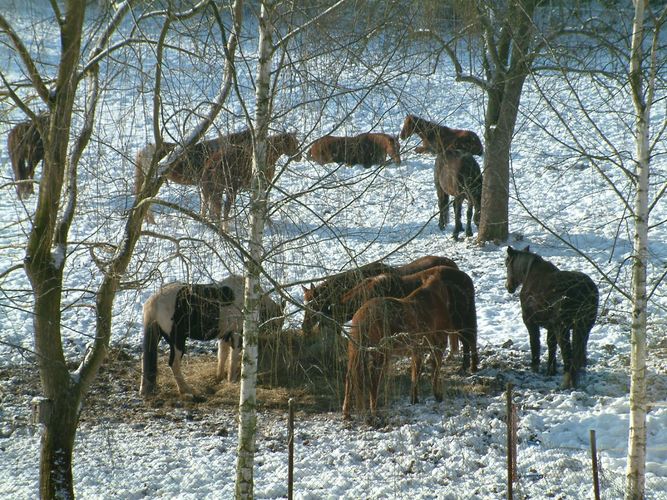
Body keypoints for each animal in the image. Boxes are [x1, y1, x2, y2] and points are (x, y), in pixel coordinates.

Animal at [140, 274, 286, 398]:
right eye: (278, 323)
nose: (278, 338)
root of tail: (153, 302)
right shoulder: (236, 334)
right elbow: (233, 357)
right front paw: (232, 381)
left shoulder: (224, 335)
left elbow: (222, 355)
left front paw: (219, 378)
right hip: (177, 341)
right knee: (173, 363)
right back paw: (186, 390)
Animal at [344, 266, 480, 422]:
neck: (435, 297)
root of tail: (363, 317)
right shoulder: (437, 345)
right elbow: (434, 372)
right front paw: (437, 395)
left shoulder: (417, 350)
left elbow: (416, 374)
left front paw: (414, 399)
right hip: (381, 356)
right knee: (372, 382)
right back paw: (374, 413)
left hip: (357, 353)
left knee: (350, 379)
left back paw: (347, 413)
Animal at [506, 245, 600, 386]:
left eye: (506, 263)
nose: (508, 287)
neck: (529, 275)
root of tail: (585, 290)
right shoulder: (551, 327)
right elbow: (551, 346)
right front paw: (551, 370)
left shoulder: (530, 322)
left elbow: (535, 343)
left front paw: (535, 367)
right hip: (584, 328)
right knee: (578, 356)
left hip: (564, 329)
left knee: (568, 356)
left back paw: (565, 384)